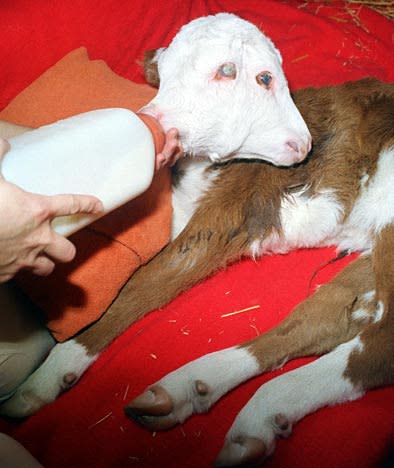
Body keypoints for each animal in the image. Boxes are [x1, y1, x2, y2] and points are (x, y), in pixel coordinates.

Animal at [1, 11, 392, 468]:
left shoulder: (226, 215)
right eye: (164, 75)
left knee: (378, 343)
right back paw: (196, 390)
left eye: (262, 77)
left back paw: (255, 409)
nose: (303, 145)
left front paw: (48, 374)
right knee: (329, 317)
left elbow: (145, 282)